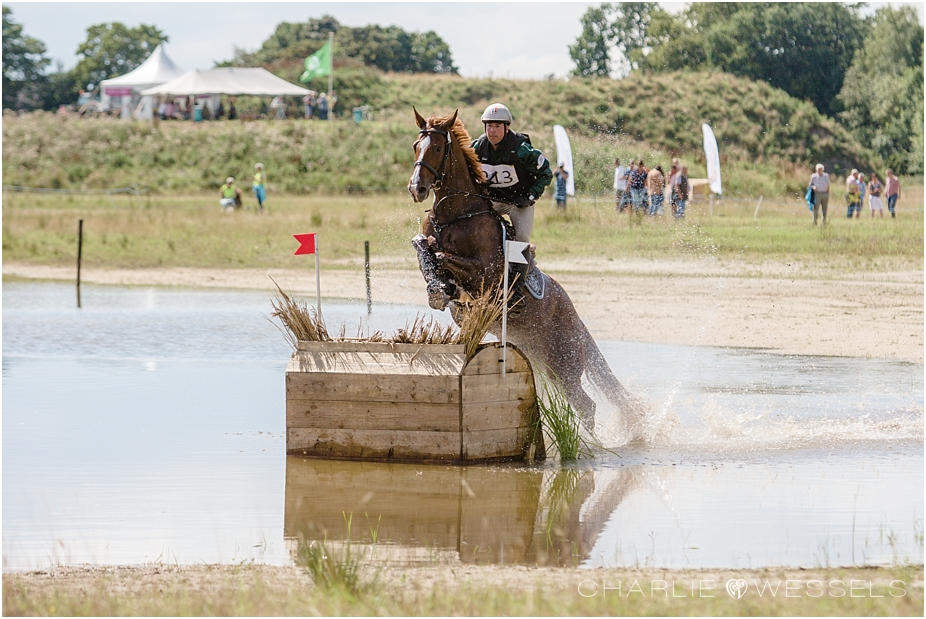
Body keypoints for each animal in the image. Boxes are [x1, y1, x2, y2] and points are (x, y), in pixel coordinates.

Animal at [410, 108, 640, 436]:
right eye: (416, 146)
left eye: (439, 148)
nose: (416, 189)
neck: (455, 215)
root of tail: (575, 317)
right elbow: (423, 247)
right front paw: (439, 290)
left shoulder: (487, 274)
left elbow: (444, 256)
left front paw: (443, 288)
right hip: (539, 360)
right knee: (581, 402)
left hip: (563, 363)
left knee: (586, 405)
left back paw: (588, 442)